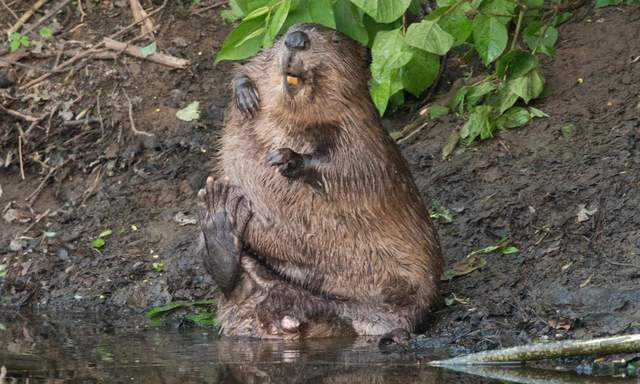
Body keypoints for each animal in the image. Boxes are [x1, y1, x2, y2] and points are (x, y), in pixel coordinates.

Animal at [198, 22, 442, 338]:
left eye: (334, 39)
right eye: (286, 31)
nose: (296, 39)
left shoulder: (360, 129)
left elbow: (351, 164)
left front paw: (286, 158)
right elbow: (248, 66)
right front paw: (246, 95)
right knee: (237, 281)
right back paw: (219, 216)